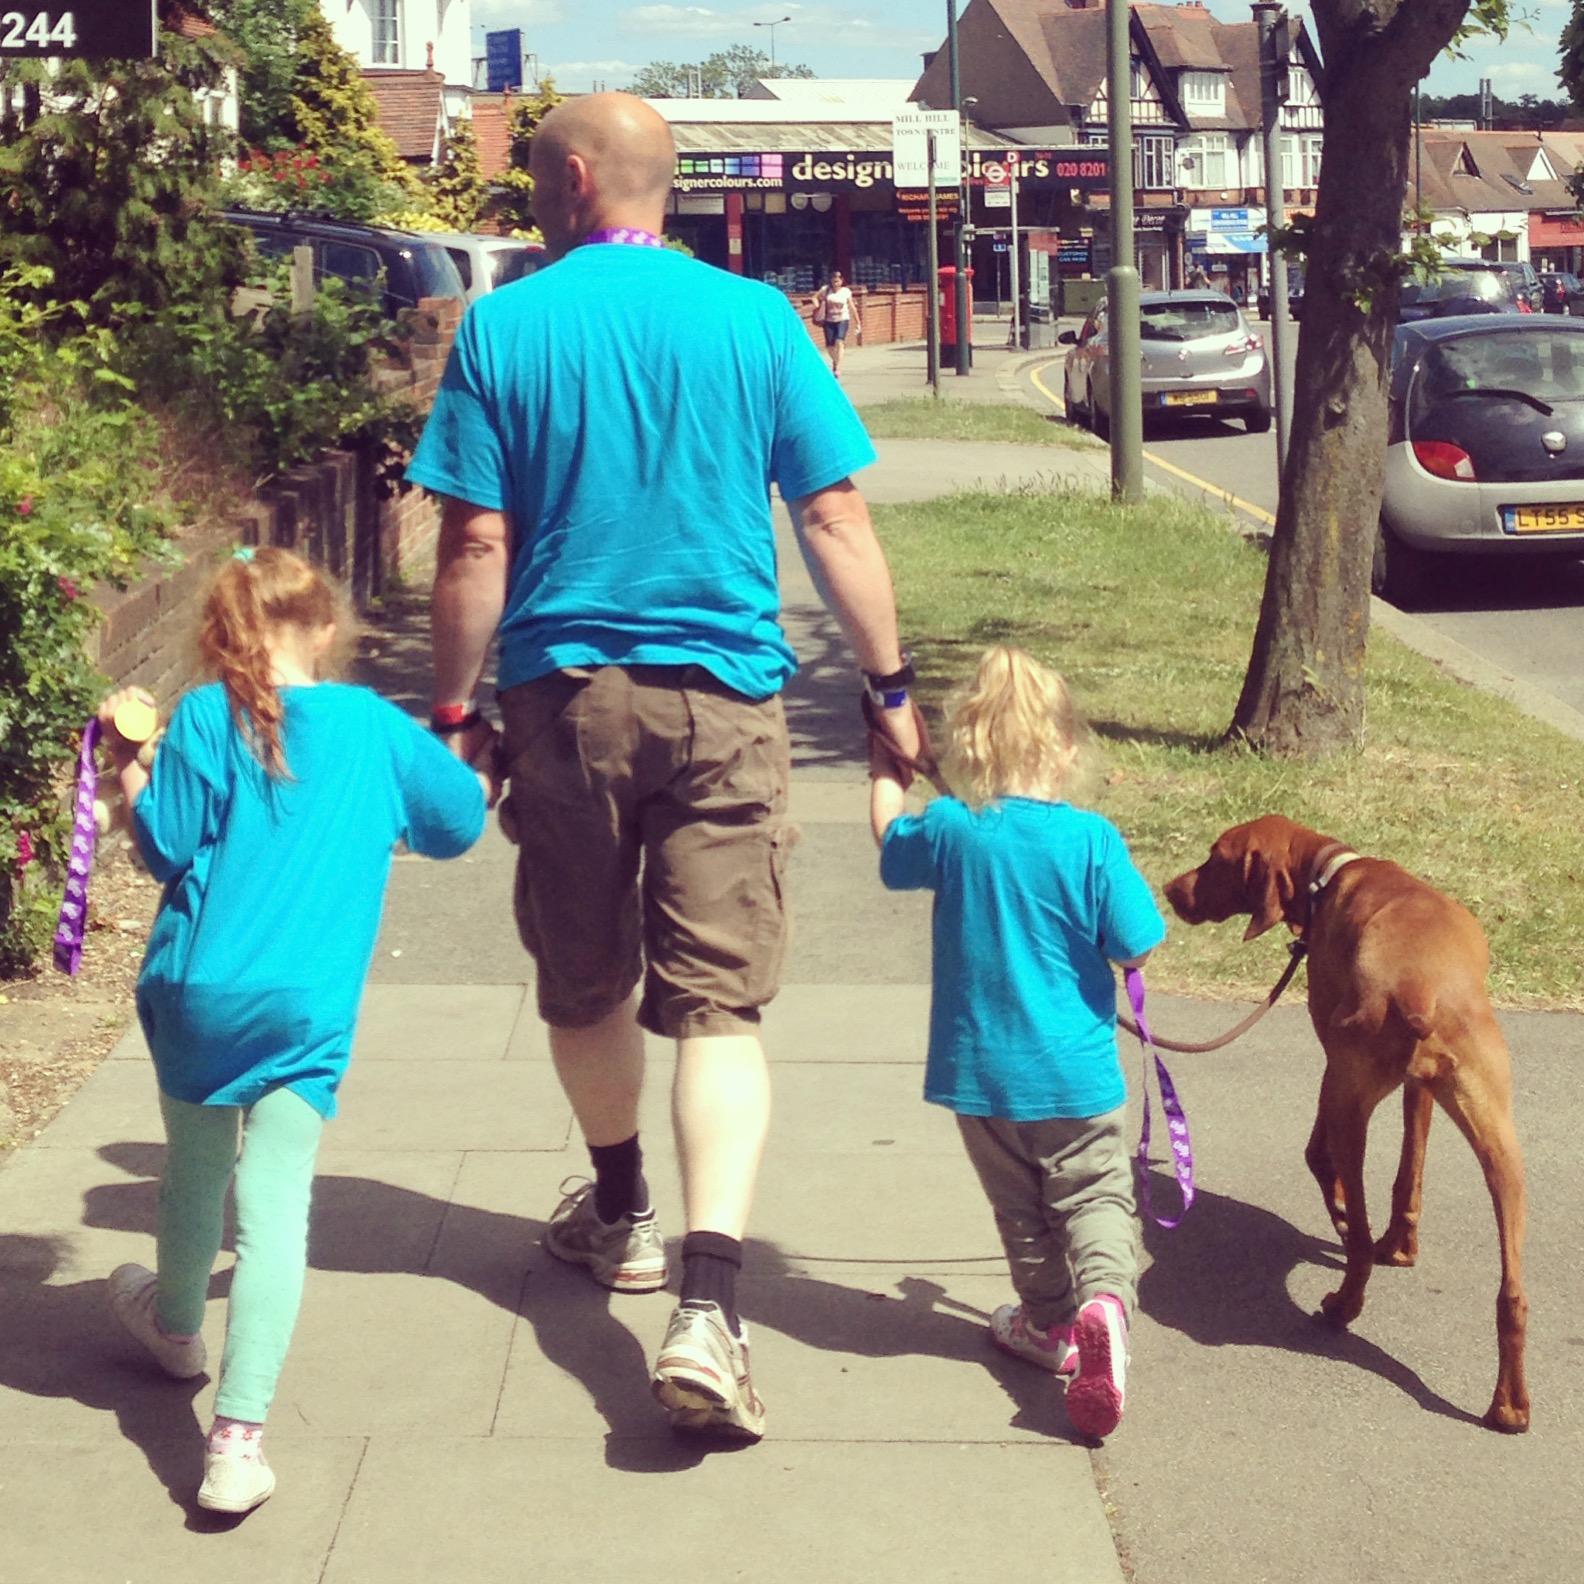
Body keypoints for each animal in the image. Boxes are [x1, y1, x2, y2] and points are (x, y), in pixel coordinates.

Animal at [1164, 815, 1529, 1433]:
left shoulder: (1333, 1062)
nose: (1168, 889)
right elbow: (1409, 1174)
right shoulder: (1419, 1089)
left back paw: (1341, 1300)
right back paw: (1509, 1405)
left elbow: (1318, 1155)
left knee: (1348, 1219)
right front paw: (1402, 1246)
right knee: (1512, 1296)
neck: (1330, 873)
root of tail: (1422, 988)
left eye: (1215, 858)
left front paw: (1342, 1218)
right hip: (1501, 1143)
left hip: (1347, 1099)